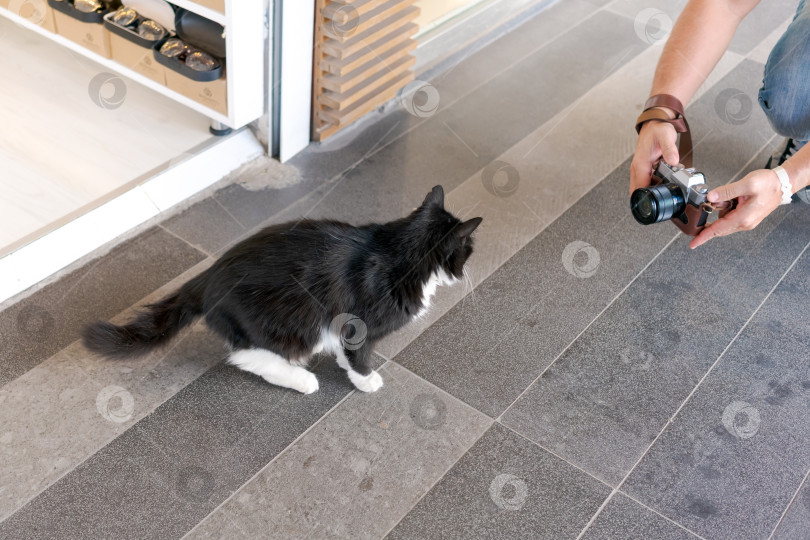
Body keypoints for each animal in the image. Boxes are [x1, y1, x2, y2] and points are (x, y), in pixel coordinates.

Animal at [83, 188, 480, 394]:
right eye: (468, 249)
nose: (468, 268)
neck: (401, 250)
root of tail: (207, 277)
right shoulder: (359, 322)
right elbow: (359, 354)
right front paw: (365, 379)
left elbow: (344, 348)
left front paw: (344, 363)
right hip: (291, 323)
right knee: (246, 356)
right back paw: (302, 379)